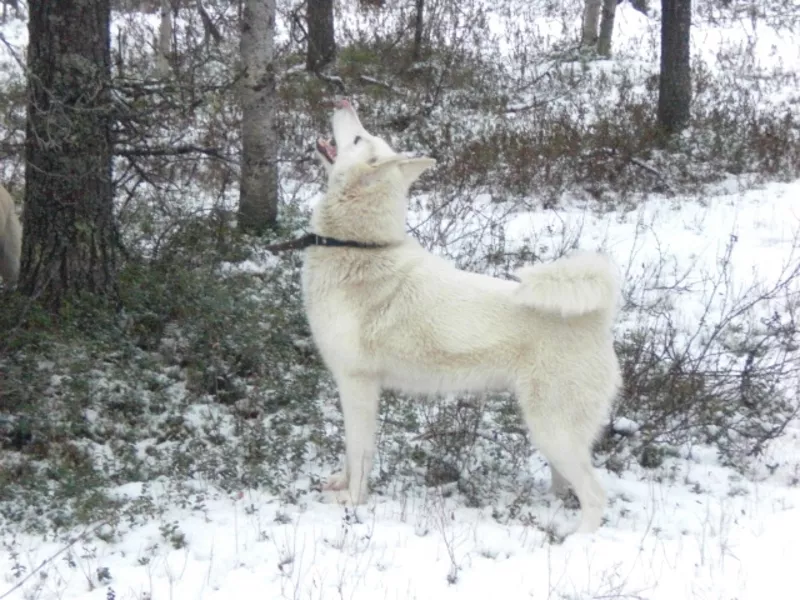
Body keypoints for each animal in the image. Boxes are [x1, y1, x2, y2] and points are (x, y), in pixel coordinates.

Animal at [304, 99, 620, 536]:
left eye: (357, 138)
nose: (343, 101)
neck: (357, 245)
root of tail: (598, 319)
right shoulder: (352, 388)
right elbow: (350, 454)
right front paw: (340, 483)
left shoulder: (359, 386)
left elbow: (360, 453)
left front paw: (352, 502)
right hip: (551, 433)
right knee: (568, 485)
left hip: (552, 430)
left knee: (595, 495)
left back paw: (577, 538)